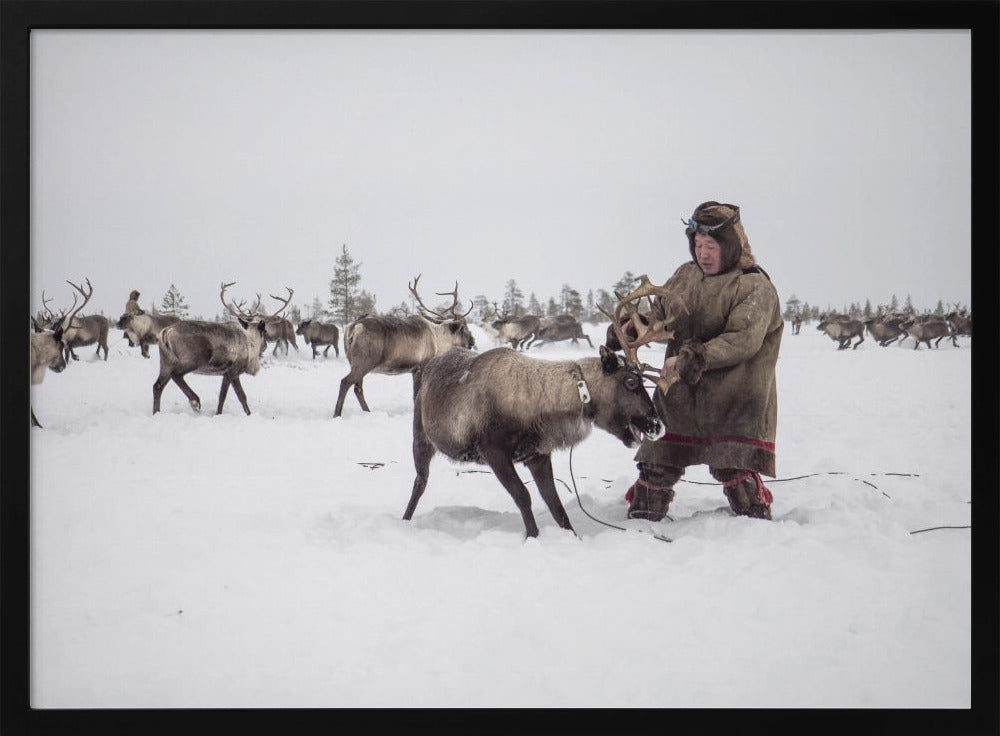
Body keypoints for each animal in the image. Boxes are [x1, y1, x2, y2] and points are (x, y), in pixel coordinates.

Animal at [151, 283, 292, 415]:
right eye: (265, 331)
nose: (265, 346)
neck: (250, 343)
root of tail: (166, 331)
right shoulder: (230, 372)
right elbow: (222, 397)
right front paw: (218, 414)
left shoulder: (235, 374)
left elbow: (242, 397)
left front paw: (249, 414)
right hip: (191, 361)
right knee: (176, 375)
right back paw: (195, 401)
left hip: (165, 362)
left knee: (157, 386)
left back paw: (156, 412)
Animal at [333, 275, 476, 417]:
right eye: (463, 329)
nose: (473, 341)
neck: (437, 338)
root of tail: (353, 327)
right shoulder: (422, 365)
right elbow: (416, 394)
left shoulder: (414, 370)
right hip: (364, 362)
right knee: (345, 382)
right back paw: (337, 414)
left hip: (354, 362)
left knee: (357, 388)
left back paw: (367, 412)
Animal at [403, 276, 683, 538]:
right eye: (631, 382)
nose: (658, 426)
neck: (543, 405)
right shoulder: (493, 450)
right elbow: (523, 496)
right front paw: (533, 537)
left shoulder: (537, 454)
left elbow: (556, 505)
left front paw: (572, 538)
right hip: (421, 435)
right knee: (419, 481)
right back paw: (405, 520)